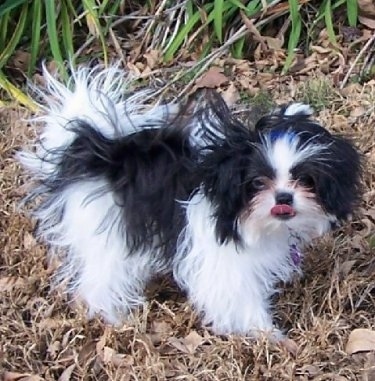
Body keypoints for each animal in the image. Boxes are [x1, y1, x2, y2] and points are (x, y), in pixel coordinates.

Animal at [19, 65, 362, 338]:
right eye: (256, 183)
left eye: (304, 179)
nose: (284, 197)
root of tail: (94, 150)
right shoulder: (225, 262)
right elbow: (240, 298)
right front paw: (268, 335)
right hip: (107, 235)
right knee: (100, 279)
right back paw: (113, 318)